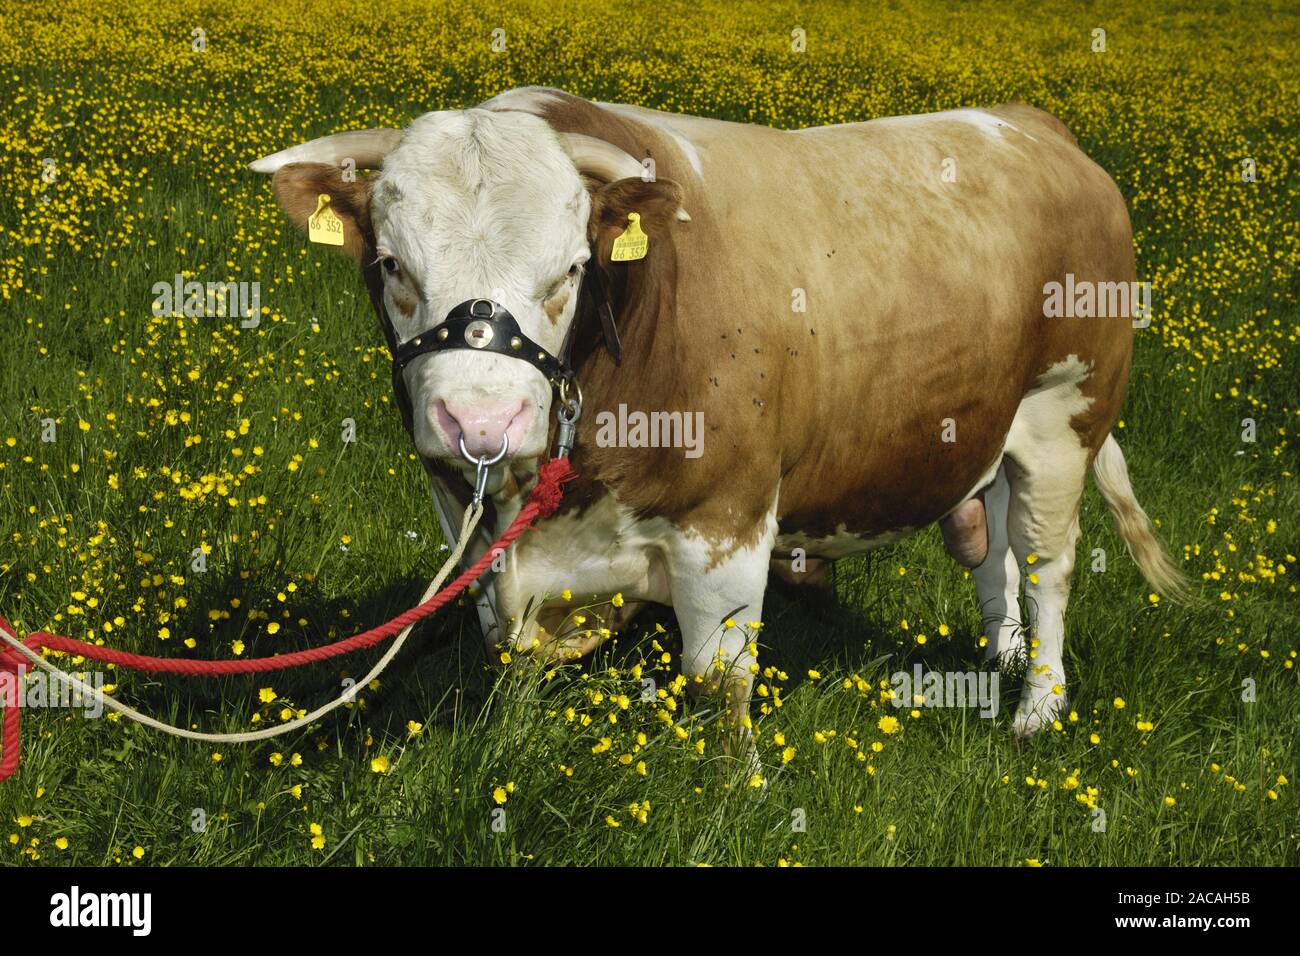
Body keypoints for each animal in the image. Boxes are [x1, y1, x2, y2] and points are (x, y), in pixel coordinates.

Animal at [249, 86, 1185, 751]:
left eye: (573, 269)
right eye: (389, 264)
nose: (483, 423)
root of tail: (1031, 124)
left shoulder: (725, 518)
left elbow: (717, 682)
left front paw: (739, 788)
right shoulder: (466, 519)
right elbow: (507, 653)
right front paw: (518, 733)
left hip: (1063, 415)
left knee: (1047, 562)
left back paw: (1038, 705)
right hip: (983, 427)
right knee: (992, 545)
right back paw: (1001, 655)